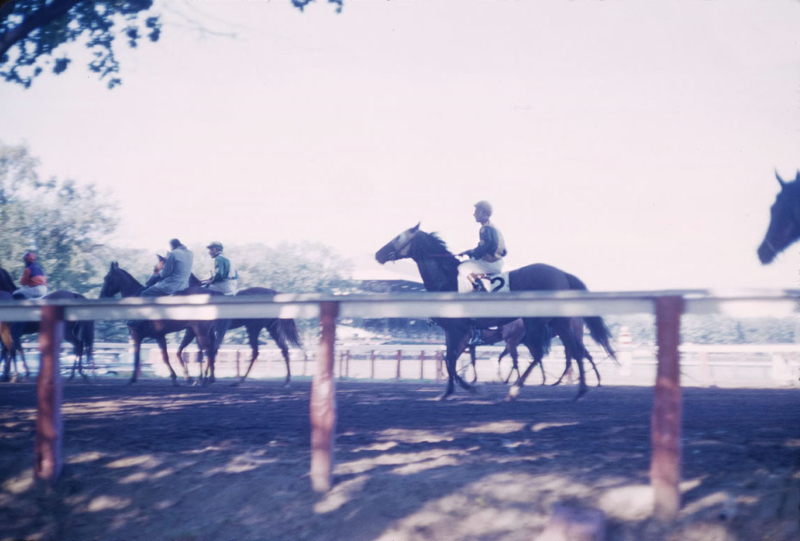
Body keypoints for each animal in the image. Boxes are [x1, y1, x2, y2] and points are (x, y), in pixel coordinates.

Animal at [378, 221, 616, 398]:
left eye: (399, 237)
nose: (378, 254)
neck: (448, 281)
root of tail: (561, 272)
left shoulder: (460, 331)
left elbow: (451, 360)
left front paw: (468, 387)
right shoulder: (453, 332)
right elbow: (449, 359)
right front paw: (449, 391)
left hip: (536, 323)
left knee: (548, 353)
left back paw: (516, 389)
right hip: (556, 322)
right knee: (573, 351)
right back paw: (579, 389)